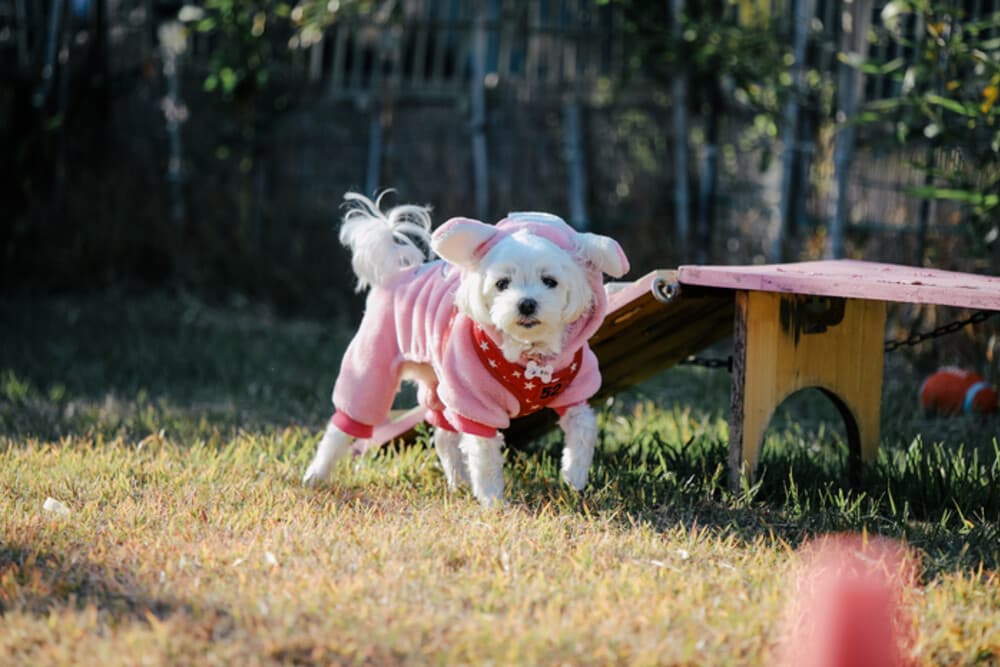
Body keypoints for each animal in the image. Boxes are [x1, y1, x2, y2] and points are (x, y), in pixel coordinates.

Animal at [304, 193, 628, 506]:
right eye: (502, 283)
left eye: (550, 281)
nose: (526, 304)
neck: (531, 359)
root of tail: (397, 273)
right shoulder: (475, 402)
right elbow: (485, 459)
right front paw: (493, 501)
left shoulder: (575, 390)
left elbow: (583, 429)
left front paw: (574, 479)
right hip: (372, 365)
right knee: (344, 425)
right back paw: (316, 475)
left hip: (439, 384)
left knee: (443, 435)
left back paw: (457, 480)